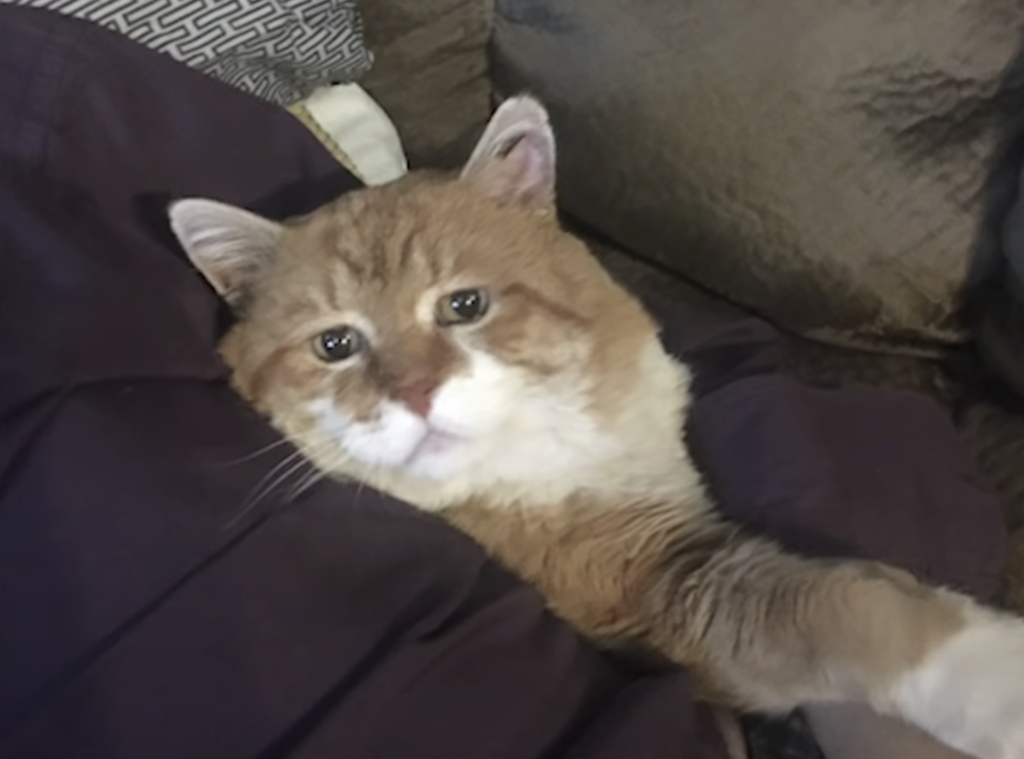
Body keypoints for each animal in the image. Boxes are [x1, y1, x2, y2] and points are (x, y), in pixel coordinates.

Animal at [169, 96, 1024, 759]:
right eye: (335, 345)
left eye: (465, 304)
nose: (414, 392)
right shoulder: (657, 586)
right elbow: (844, 605)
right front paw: (990, 673)